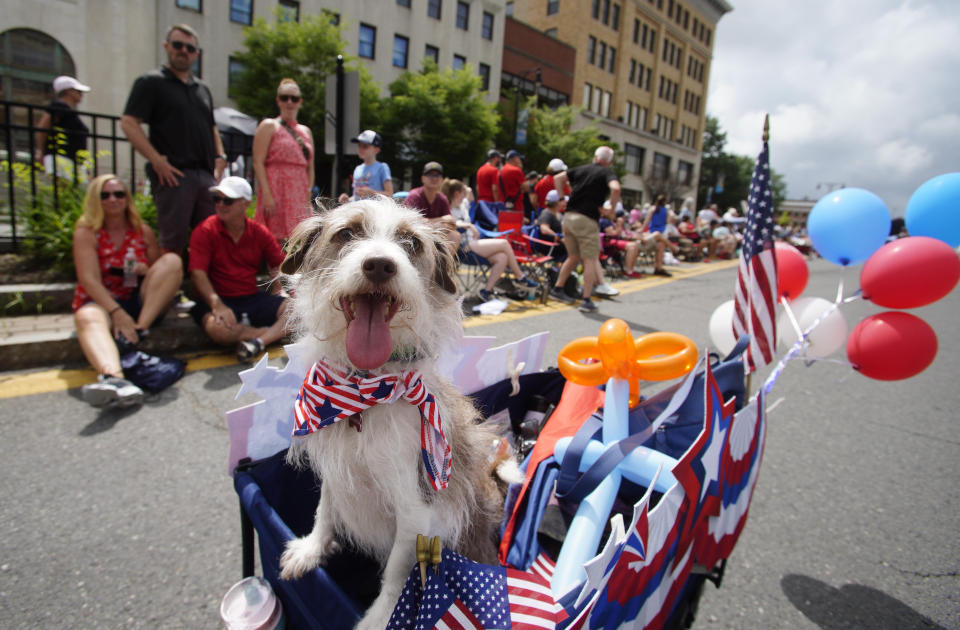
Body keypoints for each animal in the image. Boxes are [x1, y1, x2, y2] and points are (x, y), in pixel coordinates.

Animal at [276, 199, 506, 630]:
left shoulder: (416, 509)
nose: (380, 265)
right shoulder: (336, 468)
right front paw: (312, 548)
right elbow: (325, 509)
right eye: (347, 233)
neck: (364, 395)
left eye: (412, 243)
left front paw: (379, 618)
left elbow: (399, 572)